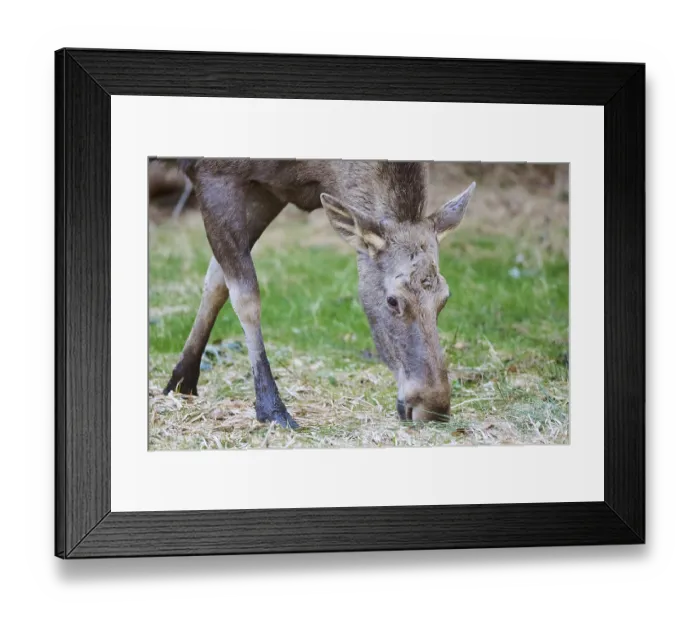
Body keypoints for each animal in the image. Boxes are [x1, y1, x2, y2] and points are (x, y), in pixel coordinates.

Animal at [162, 158, 476, 429]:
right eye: (393, 300)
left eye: (445, 297)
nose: (434, 407)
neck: (316, 169)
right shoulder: (213, 174)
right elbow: (246, 297)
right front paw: (271, 408)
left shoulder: (269, 190)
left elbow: (216, 282)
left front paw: (181, 380)